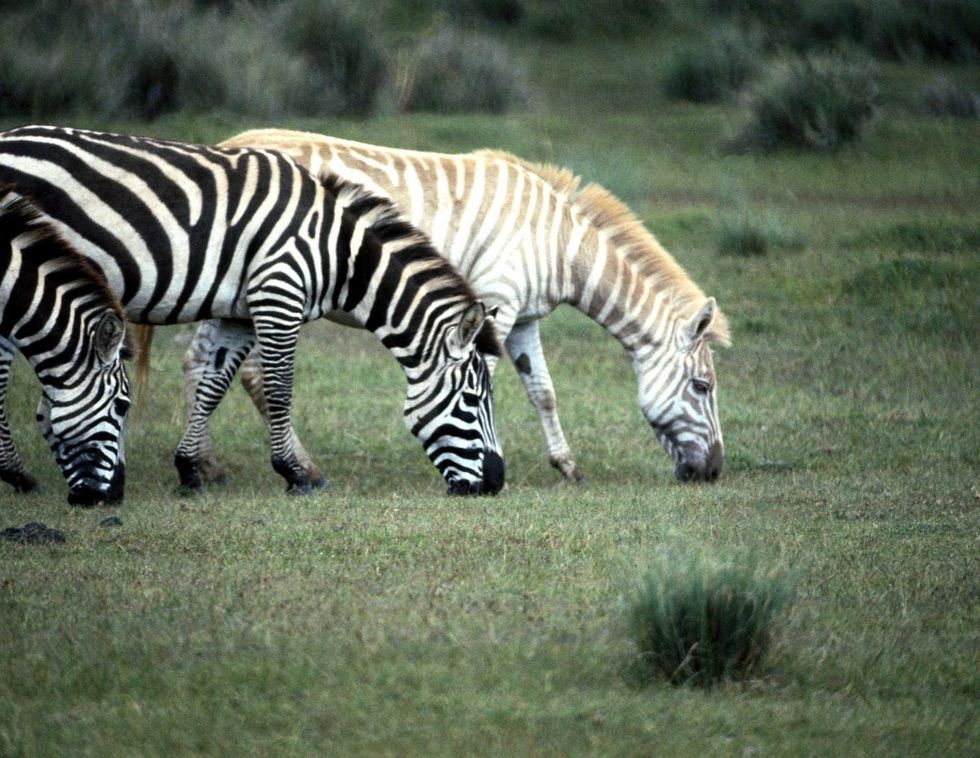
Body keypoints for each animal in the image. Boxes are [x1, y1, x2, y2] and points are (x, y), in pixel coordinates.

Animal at [183, 130, 730, 486]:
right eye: (702, 387)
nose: (712, 472)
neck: (560, 243)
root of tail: (231, 140)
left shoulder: (524, 317)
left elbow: (544, 393)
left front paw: (567, 464)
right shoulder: (496, 302)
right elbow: (484, 378)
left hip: (227, 289)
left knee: (201, 362)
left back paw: (206, 464)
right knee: (250, 373)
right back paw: (296, 466)